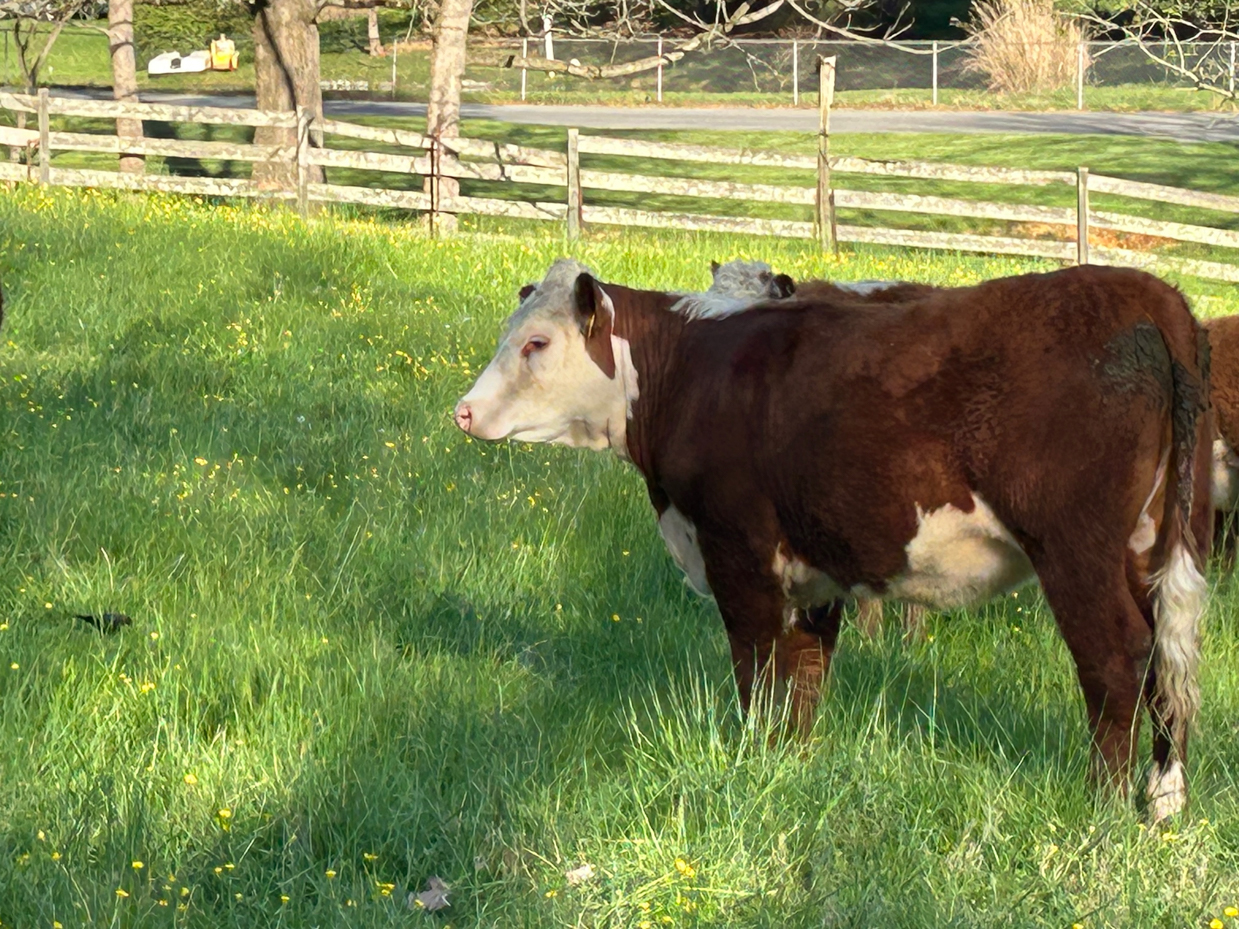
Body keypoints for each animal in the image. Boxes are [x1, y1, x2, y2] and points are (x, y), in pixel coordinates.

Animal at [455, 258, 1211, 821]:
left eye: (536, 343)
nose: (463, 411)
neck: (690, 368)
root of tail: (1152, 294)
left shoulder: (738, 553)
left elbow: (758, 671)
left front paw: (753, 760)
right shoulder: (811, 570)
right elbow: (805, 676)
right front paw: (792, 763)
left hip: (1075, 550)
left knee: (1116, 657)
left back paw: (1101, 806)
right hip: (1146, 543)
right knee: (1164, 655)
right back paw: (1162, 799)